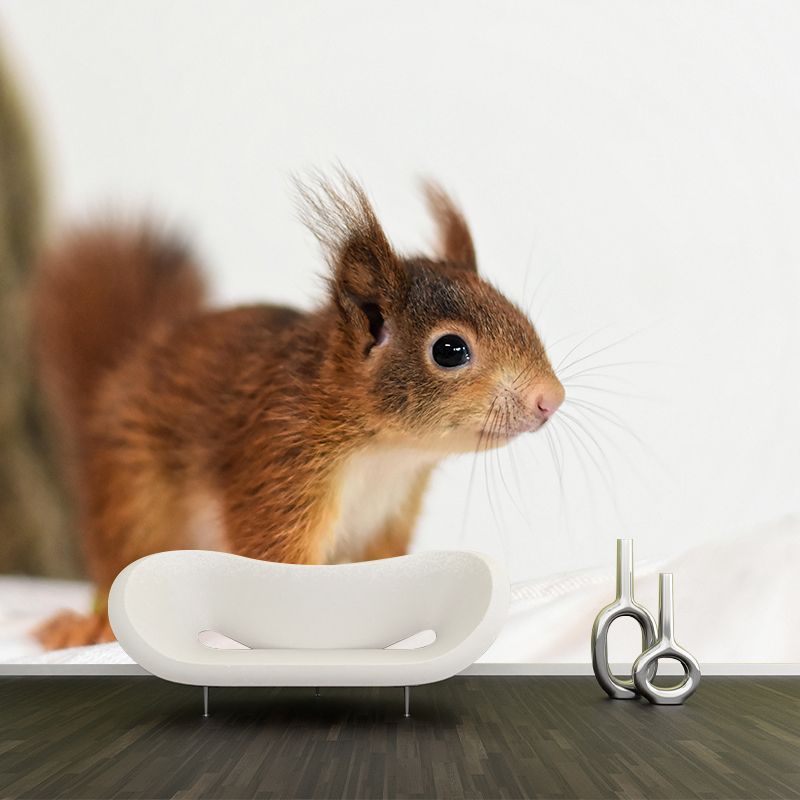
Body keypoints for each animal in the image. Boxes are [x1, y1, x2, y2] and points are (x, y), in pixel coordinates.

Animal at [32, 174, 565, 649]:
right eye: (450, 350)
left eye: (516, 311)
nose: (551, 399)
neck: (386, 451)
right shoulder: (278, 463)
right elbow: (281, 566)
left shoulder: (387, 518)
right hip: (132, 500)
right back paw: (91, 625)